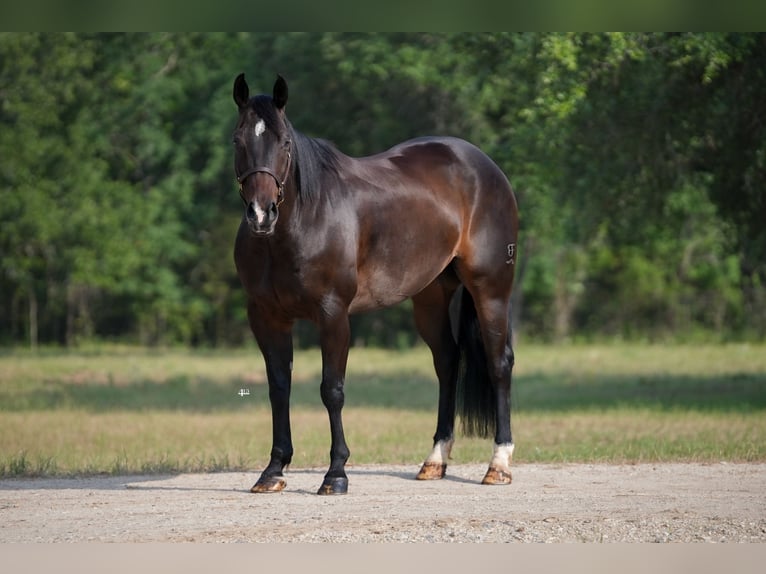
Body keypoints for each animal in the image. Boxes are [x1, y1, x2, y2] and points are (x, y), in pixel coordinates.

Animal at [232, 74, 520, 498]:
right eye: (237, 140)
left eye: (284, 142)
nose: (260, 214)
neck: (303, 220)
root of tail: (486, 167)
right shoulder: (267, 317)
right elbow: (278, 388)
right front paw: (273, 470)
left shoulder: (333, 314)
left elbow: (332, 390)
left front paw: (335, 474)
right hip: (431, 298)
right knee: (448, 362)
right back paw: (435, 460)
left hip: (491, 289)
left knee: (499, 363)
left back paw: (498, 464)